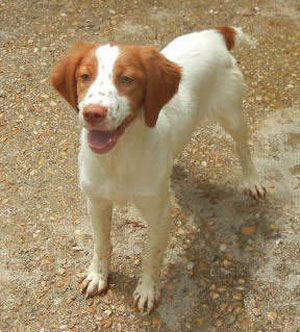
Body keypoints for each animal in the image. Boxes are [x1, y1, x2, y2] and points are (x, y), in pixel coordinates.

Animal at [52, 26, 268, 314]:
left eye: (127, 79)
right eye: (84, 76)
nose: (92, 113)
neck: (119, 156)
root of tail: (214, 33)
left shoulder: (160, 213)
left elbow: (151, 254)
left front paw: (147, 291)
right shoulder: (96, 202)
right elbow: (101, 243)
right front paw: (98, 276)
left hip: (232, 114)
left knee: (243, 148)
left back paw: (251, 180)